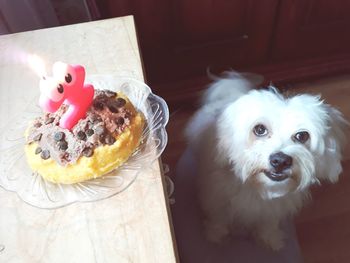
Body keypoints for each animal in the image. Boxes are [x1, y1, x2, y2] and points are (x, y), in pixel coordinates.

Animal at [186, 72, 348, 252]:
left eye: (302, 136)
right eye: (259, 129)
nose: (280, 160)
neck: (257, 188)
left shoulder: (272, 210)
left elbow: (268, 223)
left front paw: (270, 239)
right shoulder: (216, 197)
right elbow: (218, 218)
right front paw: (215, 235)